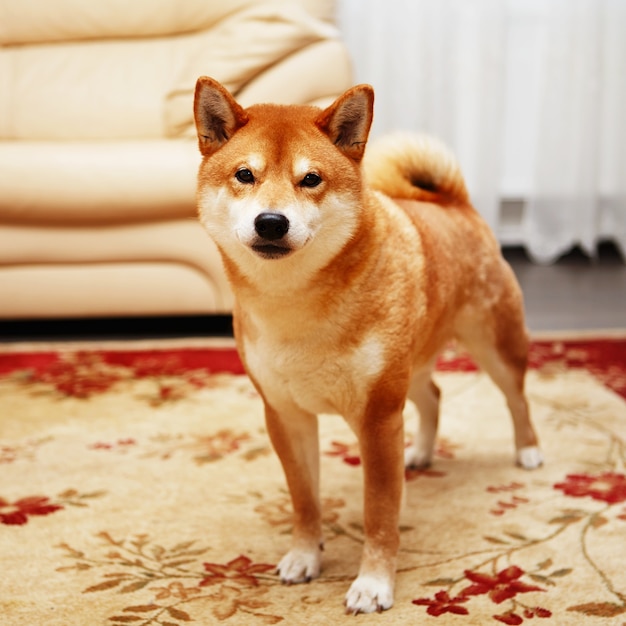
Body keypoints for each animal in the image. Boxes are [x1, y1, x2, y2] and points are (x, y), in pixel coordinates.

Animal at [191, 77, 540, 608]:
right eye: (244, 174)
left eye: (311, 179)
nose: (271, 221)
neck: (293, 302)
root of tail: (454, 204)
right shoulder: (286, 415)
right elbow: (305, 500)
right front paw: (306, 556)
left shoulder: (377, 419)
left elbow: (379, 511)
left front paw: (373, 583)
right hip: (410, 365)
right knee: (432, 395)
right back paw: (420, 453)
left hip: (494, 345)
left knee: (517, 397)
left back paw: (528, 451)